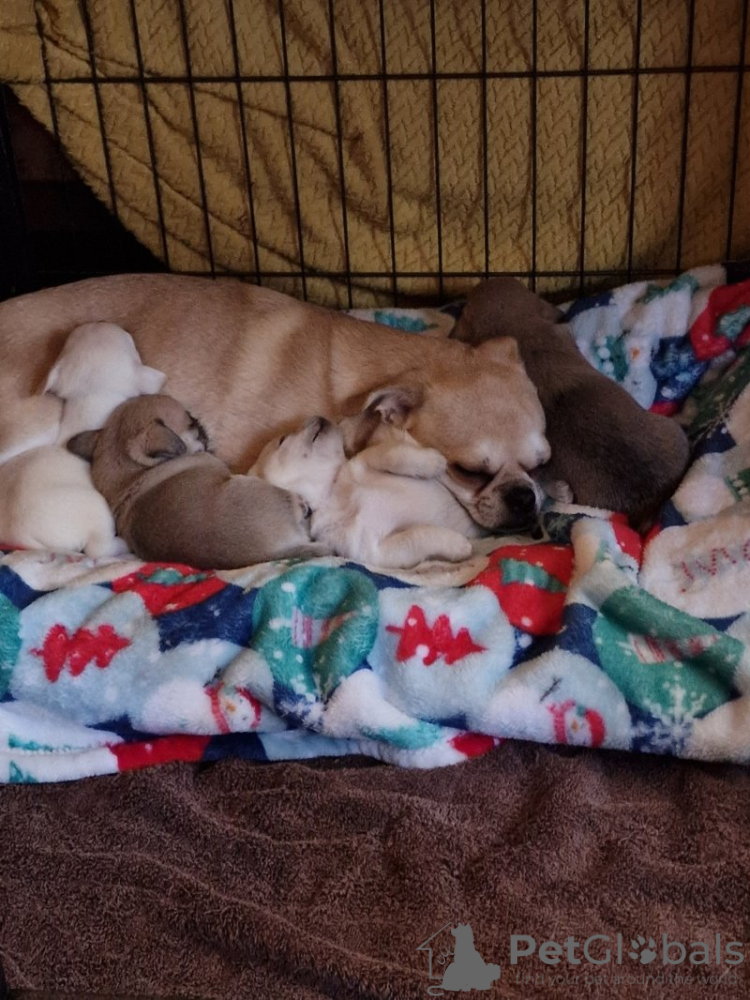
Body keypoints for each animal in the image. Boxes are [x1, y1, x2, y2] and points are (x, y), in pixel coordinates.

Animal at [0, 323, 166, 557]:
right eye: (130, 341)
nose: (100, 321)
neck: (90, 397)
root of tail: (25, 540)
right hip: (97, 510)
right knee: (99, 548)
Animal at [253, 415, 487, 569]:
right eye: (282, 439)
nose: (318, 415)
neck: (331, 496)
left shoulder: (364, 462)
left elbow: (391, 454)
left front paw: (431, 461)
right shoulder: (375, 550)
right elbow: (419, 536)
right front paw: (457, 545)